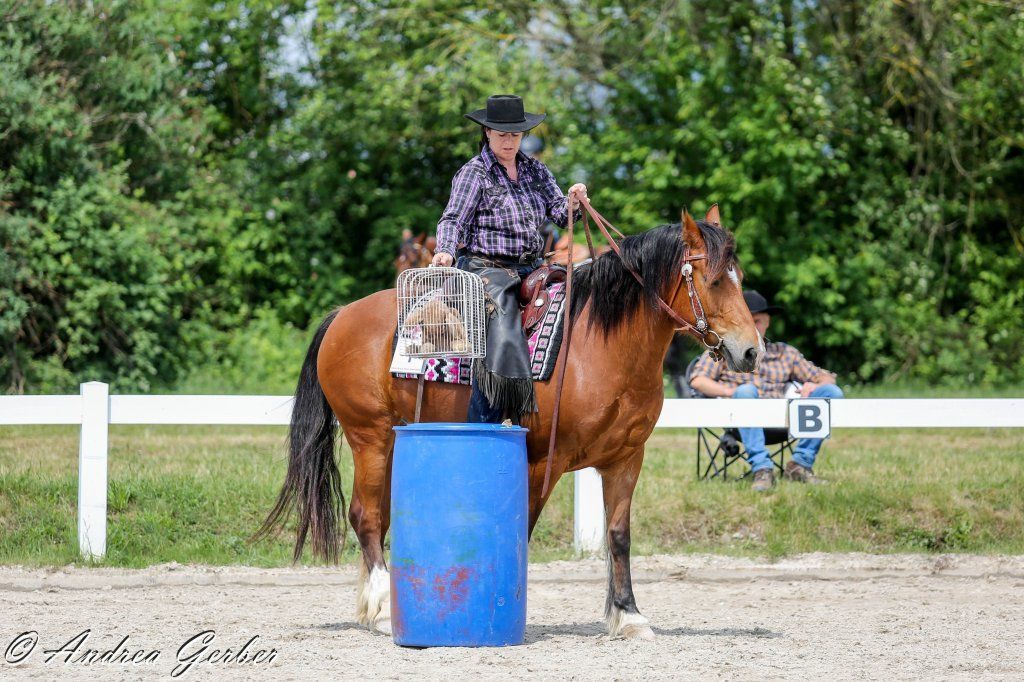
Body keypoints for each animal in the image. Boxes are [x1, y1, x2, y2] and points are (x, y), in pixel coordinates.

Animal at [259, 205, 762, 640]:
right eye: (713, 281)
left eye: (738, 279)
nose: (752, 351)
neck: (600, 344)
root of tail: (343, 314)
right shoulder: (543, 460)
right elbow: (522, 529)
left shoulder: (625, 460)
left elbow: (618, 537)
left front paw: (629, 616)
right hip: (371, 436)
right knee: (365, 517)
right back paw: (383, 610)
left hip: (394, 440)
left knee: (378, 520)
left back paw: (374, 608)